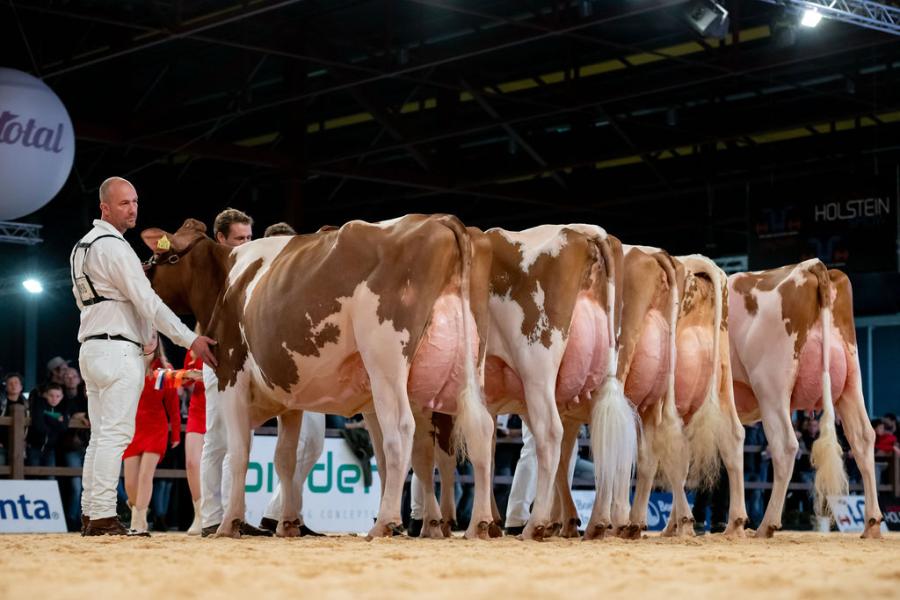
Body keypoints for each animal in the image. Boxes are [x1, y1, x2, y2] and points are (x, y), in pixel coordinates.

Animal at [139, 214, 500, 540]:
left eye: (161, 256)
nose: (143, 274)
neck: (228, 279)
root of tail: (440, 220)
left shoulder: (231, 374)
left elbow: (239, 453)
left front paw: (229, 525)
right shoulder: (288, 398)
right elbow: (284, 459)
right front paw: (286, 525)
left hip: (386, 361)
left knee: (400, 431)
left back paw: (385, 523)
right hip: (471, 363)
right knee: (480, 428)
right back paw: (479, 524)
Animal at [732, 258, 880, 540]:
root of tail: (810, 265)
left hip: (770, 386)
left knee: (786, 445)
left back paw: (766, 525)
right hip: (850, 382)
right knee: (863, 438)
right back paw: (872, 524)